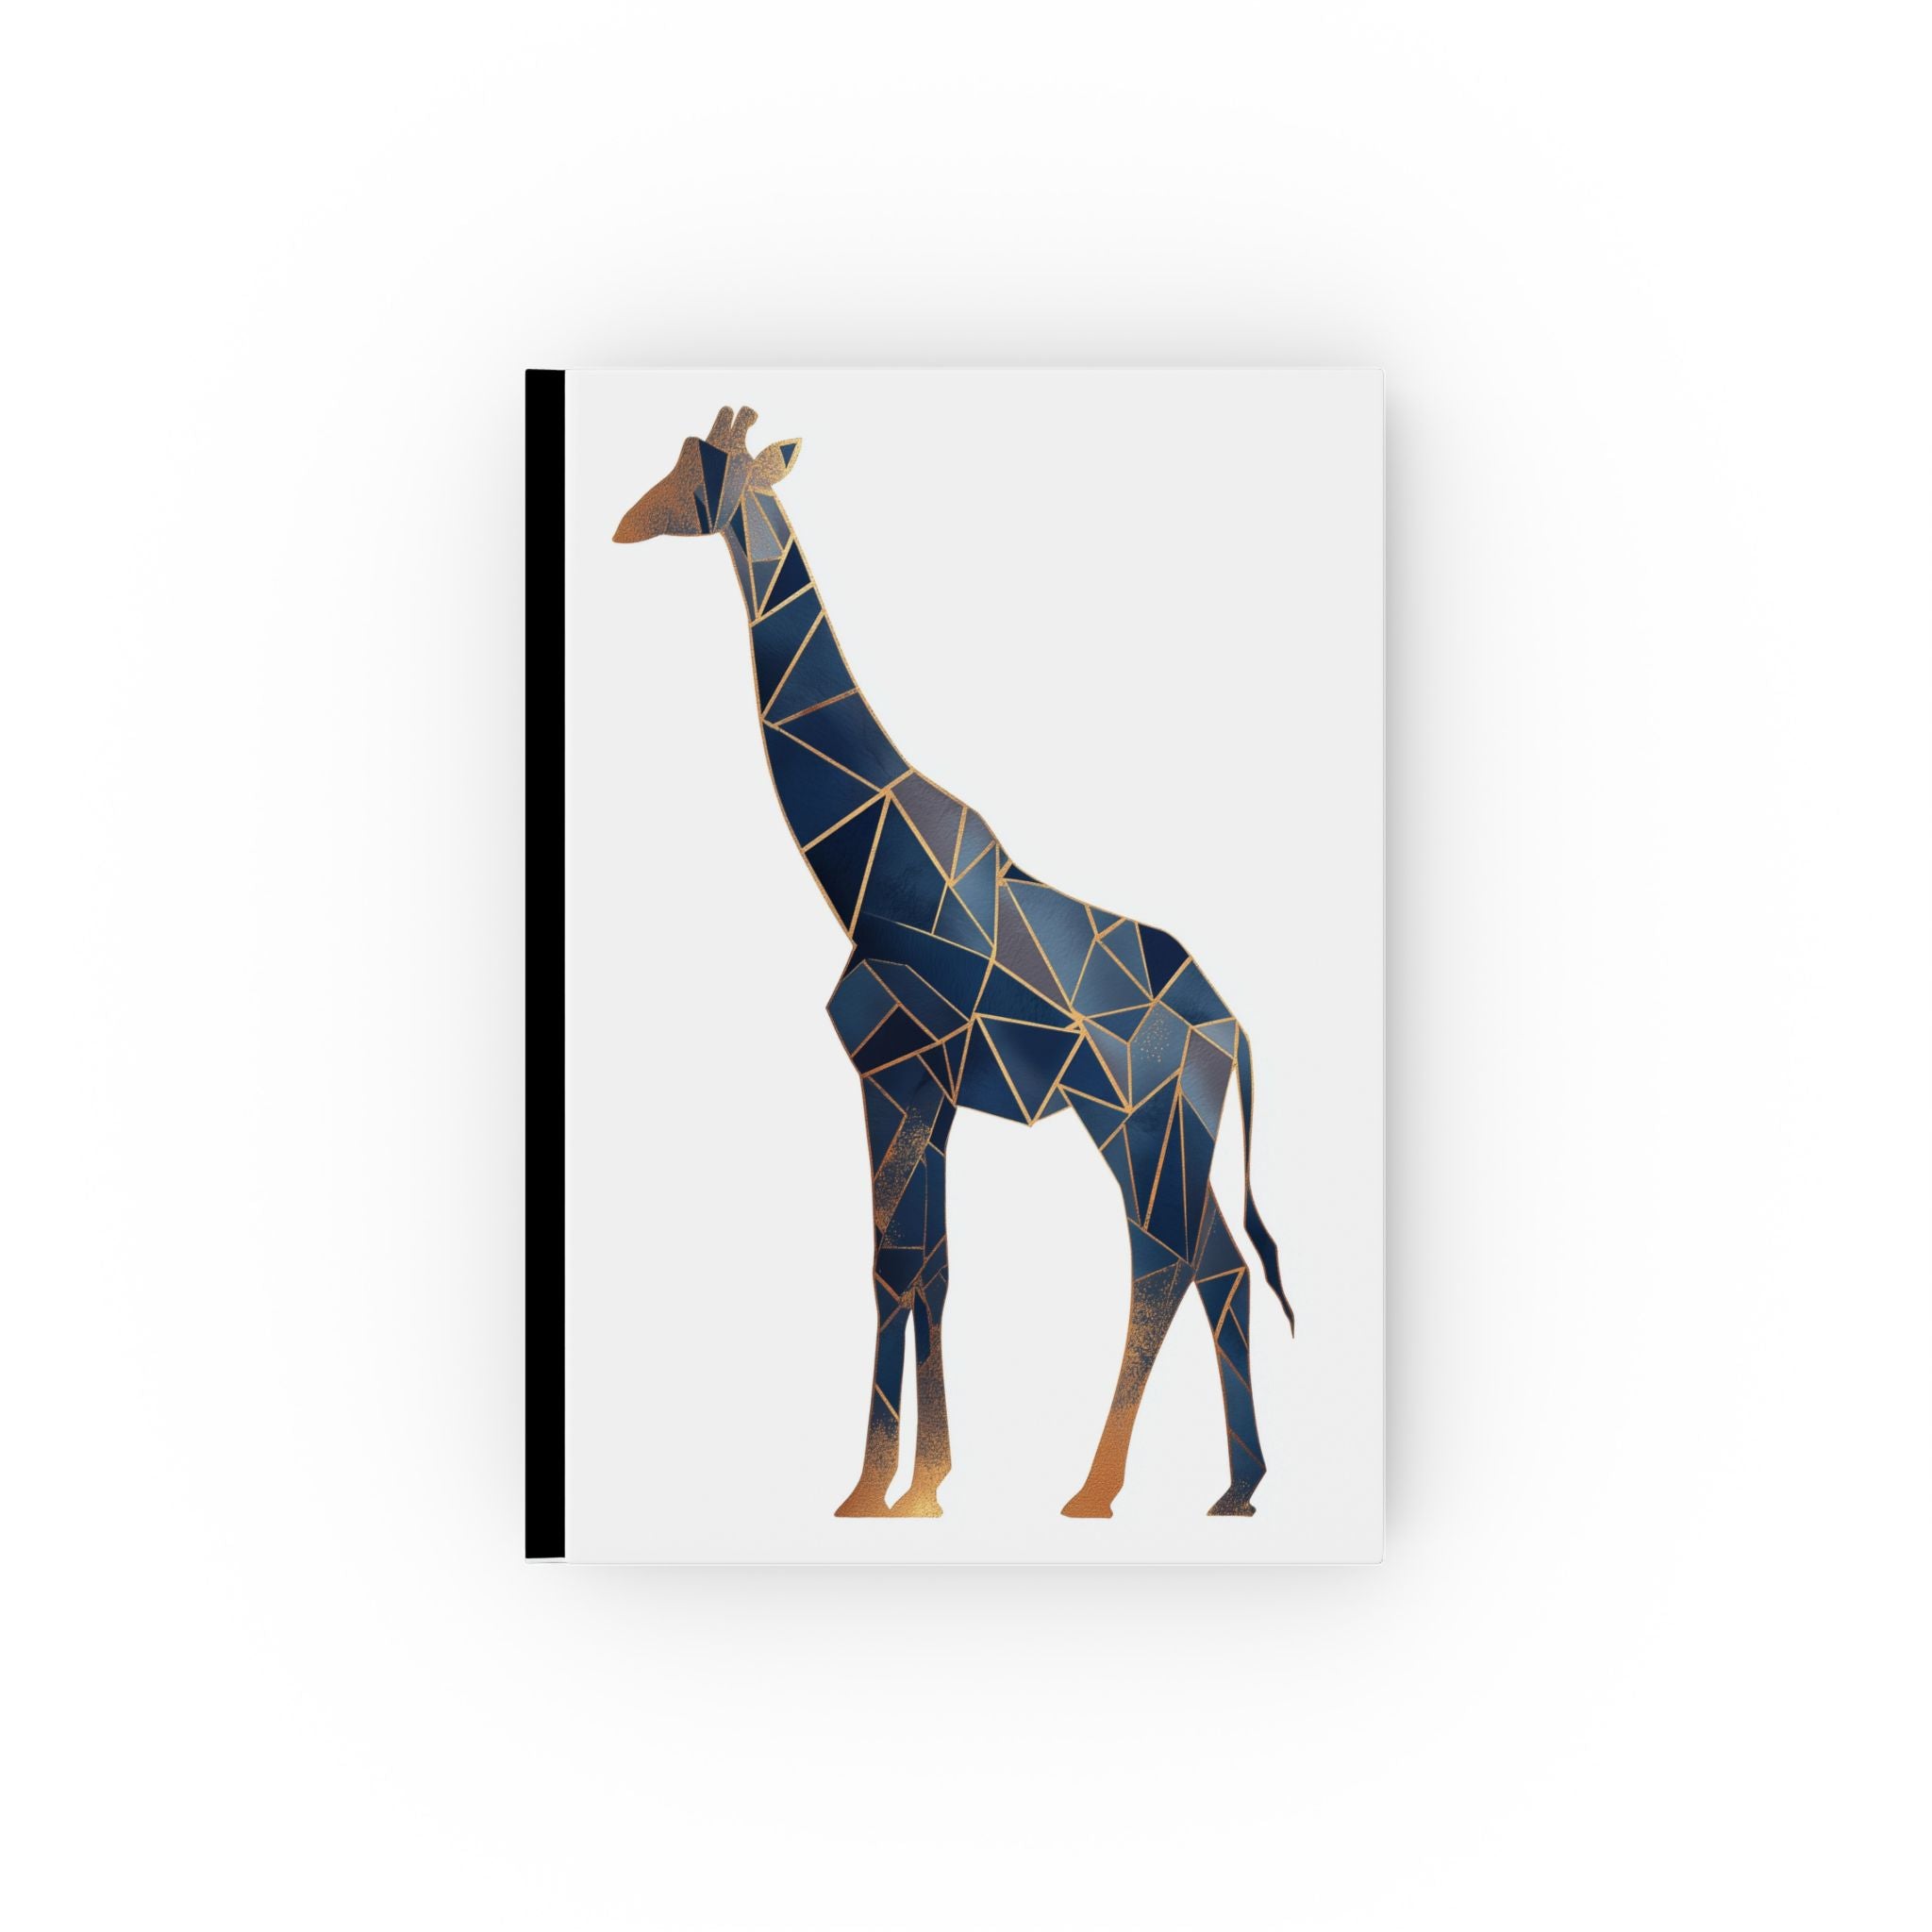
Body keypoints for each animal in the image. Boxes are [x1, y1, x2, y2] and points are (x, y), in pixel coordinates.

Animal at [614, 404, 1296, 1518]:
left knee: (1163, 1263)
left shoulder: (894, 1073)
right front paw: (912, 1483)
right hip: (1171, 1129)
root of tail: (1229, 1026)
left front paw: (882, 1488)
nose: (624, 523)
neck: (865, 870)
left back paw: (1097, 1489)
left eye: (702, 474)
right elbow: (924, 1266)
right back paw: (1235, 1487)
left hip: (1135, 1120)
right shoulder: (920, 1091)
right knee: (1219, 1267)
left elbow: (896, 1266)